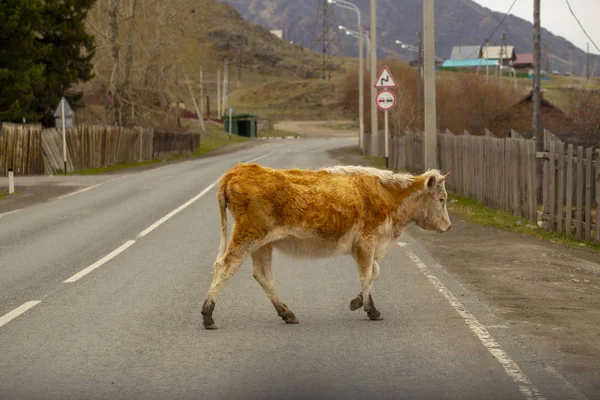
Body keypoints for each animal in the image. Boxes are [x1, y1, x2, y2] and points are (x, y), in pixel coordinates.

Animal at [202, 162, 450, 328]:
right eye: (442, 199)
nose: (447, 226)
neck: (387, 194)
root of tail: (238, 170)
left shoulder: (360, 247)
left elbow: (374, 273)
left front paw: (358, 301)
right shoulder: (367, 241)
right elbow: (366, 274)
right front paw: (371, 309)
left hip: (263, 244)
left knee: (262, 275)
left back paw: (287, 313)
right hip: (247, 236)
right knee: (225, 267)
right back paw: (208, 315)